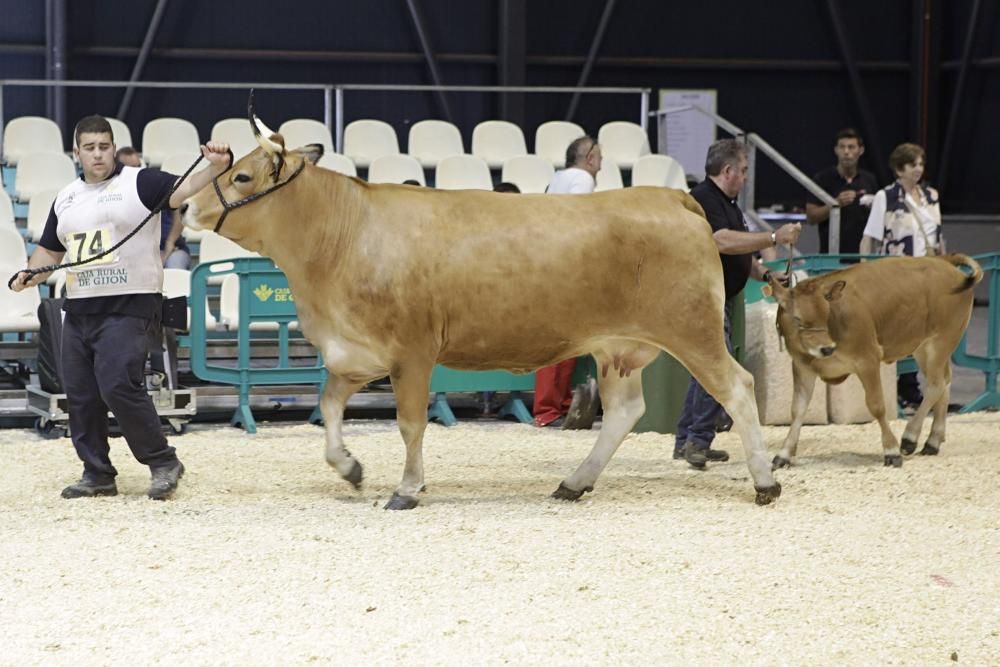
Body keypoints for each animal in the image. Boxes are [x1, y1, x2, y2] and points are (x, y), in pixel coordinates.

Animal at [184, 98, 784, 506]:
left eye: (241, 174)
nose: (185, 207)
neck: (343, 238)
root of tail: (674, 197)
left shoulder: (412, 351)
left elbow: (410, 423)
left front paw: (407, 488)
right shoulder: (353, 352)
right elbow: (329, 409)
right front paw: (350, 468)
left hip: (692, 329)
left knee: (736, 387)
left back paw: (765, 482)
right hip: (618, 346)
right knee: (624, 412)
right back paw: (574, 482)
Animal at [768, 256, 980, 470]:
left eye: (826, 313)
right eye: (797, 319)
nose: (827, 349)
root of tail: (942, 260)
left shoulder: (867, 359)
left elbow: (876, 405)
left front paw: (891, 450)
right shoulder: (802, 367)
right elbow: (798, 410)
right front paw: (784, 454)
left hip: (942, 340)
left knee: (936, 385)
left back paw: (909, 437)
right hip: (924, 347)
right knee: (945, 382)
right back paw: (933, 441)